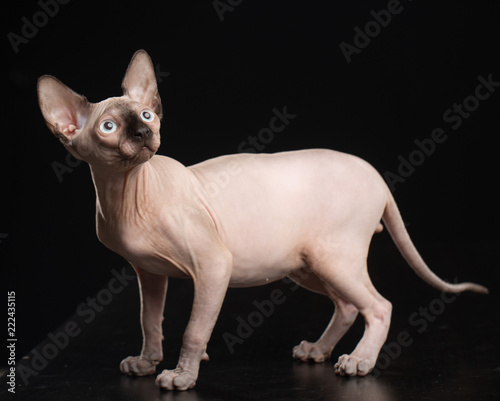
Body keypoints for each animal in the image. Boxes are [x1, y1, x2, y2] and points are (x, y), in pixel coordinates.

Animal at [36, 49, 488, 388]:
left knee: (379, 306)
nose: (144, 134)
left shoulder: (214, 266)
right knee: (346, 306)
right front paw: (147, 362)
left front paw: (182, 375)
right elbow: (150, 320)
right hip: (305, 263)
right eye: (109, 127)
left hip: (333, 258)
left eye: (146, 116)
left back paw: (359, 361)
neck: (127, 192)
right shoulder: (149, 273)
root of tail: (374, 173)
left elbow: (194, 329)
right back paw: (318, 350)